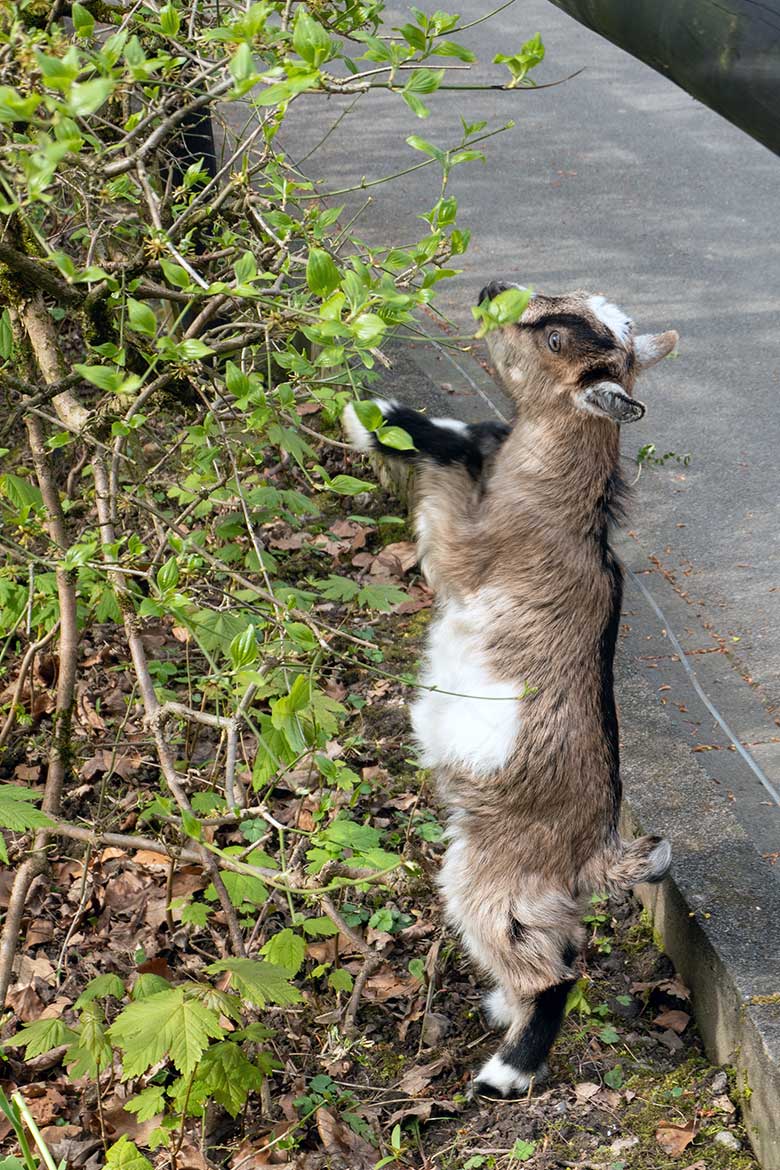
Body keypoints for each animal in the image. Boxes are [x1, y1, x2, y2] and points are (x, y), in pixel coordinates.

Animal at [341, 280, 678, 1095]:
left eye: (556, 339)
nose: (493, 290)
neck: (561, 503)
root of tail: (598, 852)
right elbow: (475, 435)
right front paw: (385, 416)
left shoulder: (465, 556)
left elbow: (451, 479)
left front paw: (376, 418)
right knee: (555, 951)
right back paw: (502, 1013)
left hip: (491, 874)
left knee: (552, 972)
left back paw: (505, 1073)